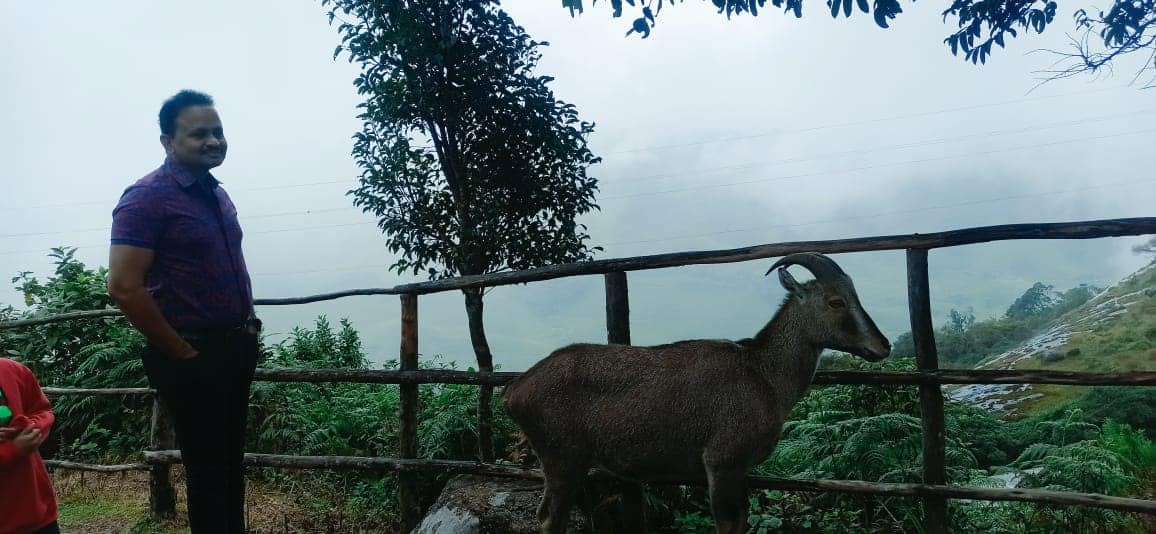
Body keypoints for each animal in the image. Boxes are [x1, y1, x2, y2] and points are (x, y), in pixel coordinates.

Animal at [502, 252, 891, 534]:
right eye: (836, 302)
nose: (882, 345)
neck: (762, 373)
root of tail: (515, 390)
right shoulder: (721, 460)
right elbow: (728, 524)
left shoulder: (739, 469)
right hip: (561, 458)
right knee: (549, 517)